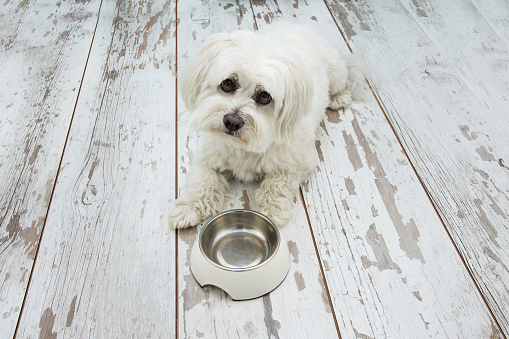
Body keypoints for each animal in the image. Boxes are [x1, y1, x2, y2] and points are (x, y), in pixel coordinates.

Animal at [169, 24, 360, 231]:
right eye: (227, 83)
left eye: (264, 97)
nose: (232, 121)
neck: (244, 146)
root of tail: (299, 25)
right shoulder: (208, 156)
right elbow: (202, 181)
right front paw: (188, 208)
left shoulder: (297, 163)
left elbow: (277, 184)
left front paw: (270, 211)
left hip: (336, 72)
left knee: (342, 81)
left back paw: (339, 97)